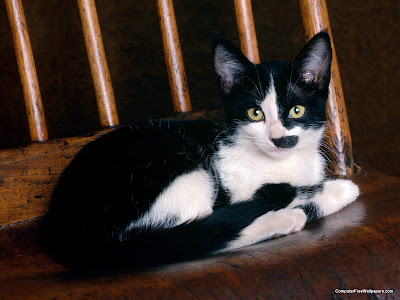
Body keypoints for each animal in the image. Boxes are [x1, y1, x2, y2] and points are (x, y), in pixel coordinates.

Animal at [47, 32, 360, 268]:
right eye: (255, 113)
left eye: (297, 110)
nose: (278, 139)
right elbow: (290, 192)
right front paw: (340, 190)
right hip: (180, 170)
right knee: (194, 238)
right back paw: (285, 218)